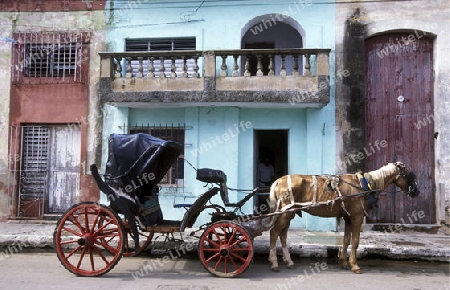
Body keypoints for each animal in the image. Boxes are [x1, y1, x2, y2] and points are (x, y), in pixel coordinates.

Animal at [266, 163, 420, 274]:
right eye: (409, 175)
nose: (417, 192)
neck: (365, 185)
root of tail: (278, 181)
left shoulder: (348, 218)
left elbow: (346, 240)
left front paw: (343, 262)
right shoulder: (357, 217)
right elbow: (355, 241)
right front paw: (354, 265)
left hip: (289, 214)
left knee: (282, 235)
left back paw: (289, 262)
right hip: (285, 213)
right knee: (274, 233)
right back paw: (274, 263)